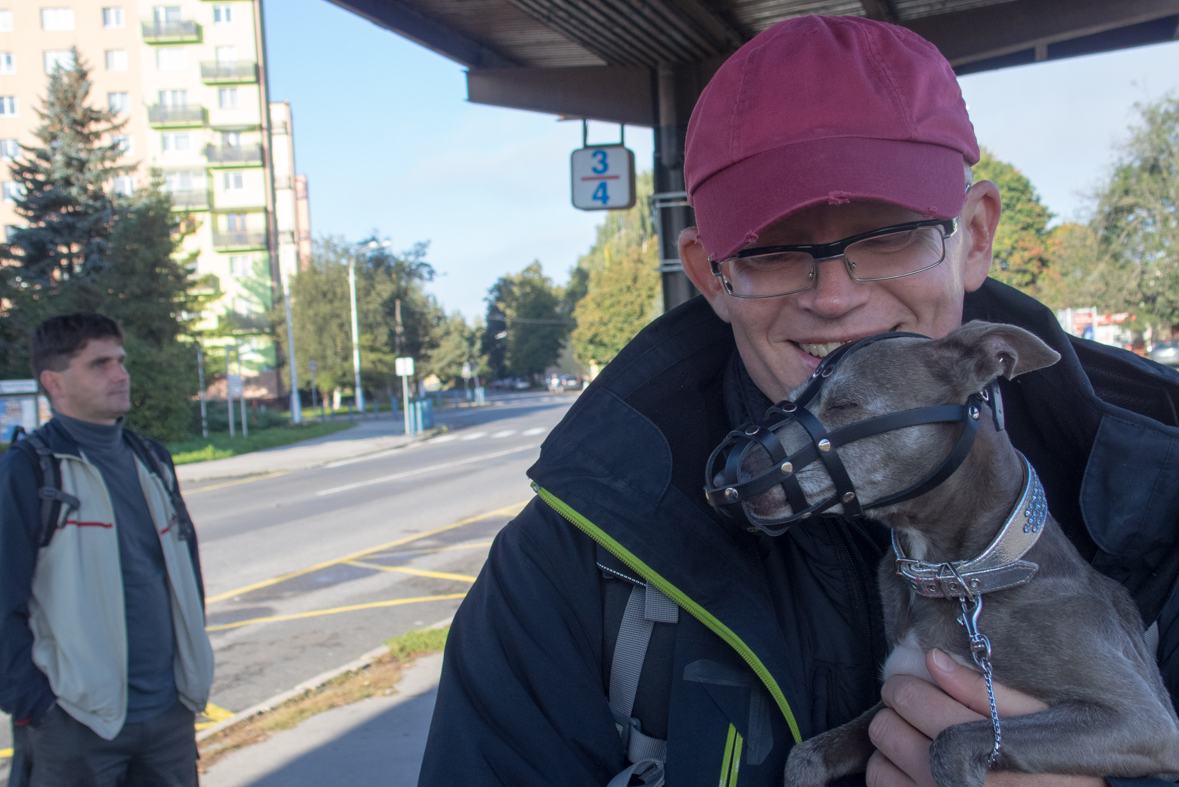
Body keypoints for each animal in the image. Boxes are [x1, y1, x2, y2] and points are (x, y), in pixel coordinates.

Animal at [740, 320, 1179, 787]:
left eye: (845, 404)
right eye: (786, 401)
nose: (737, 475)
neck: (964, 576)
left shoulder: (1147, 724)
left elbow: (951, 741)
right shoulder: (895, 687)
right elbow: (804, 756)